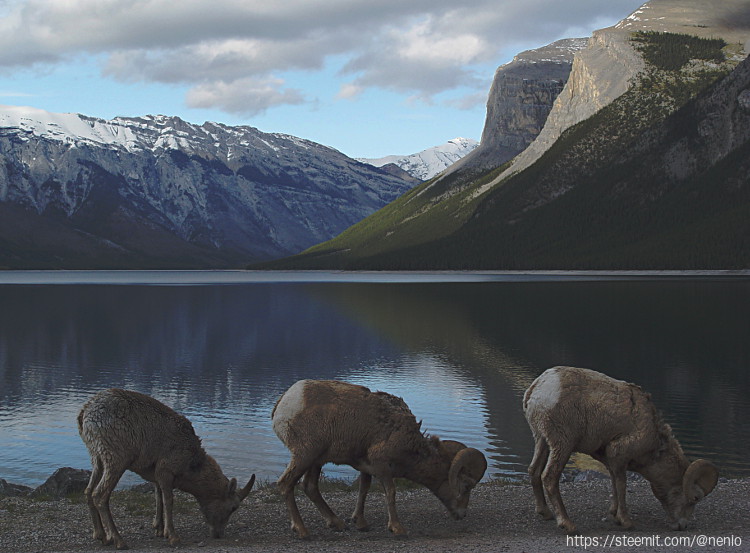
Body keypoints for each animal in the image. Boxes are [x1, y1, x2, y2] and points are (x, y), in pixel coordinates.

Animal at [78, 388, 256, 548]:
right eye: (233, 507)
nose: (218, 534)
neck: (191, 466)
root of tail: (85, 415)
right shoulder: (166, 470)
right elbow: (168, 500)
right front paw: (173, 537)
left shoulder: (156, 473)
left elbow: (159, 497)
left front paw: (159, 530)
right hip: (116, 459)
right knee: (100, 495)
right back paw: (118, 540)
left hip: (97, 458)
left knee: (88, 491)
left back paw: (101, 536)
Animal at [270, 378, 488, 536]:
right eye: (466, 486)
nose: (462, 514)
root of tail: (283, 404)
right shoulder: (382, 465)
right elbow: (390, 493)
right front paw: (397, 528)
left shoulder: (366, 467)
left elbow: (363, 490)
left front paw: (360, 523)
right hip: (305, 456)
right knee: (286, 484)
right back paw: (302, 531)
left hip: (317, 461)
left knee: (310, 487)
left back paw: (338, 523)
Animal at [524, 368, 724, 532]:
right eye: (695, 498)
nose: (683, 525)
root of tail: (537, 390)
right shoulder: (619, 455)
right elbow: (621, 485)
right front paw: (626, 521)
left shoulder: (610, 459)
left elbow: (613, 482)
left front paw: (614, 514)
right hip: (562, 444)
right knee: (550, 477)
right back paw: (568, 524)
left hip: (542, 440)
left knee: (534, 471)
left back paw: (545, 513)